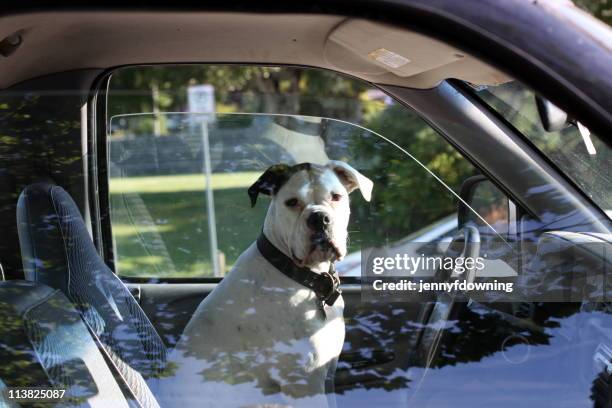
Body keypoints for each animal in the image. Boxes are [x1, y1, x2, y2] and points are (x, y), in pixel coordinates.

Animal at [155, 161, 370, 408]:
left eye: (336, 197)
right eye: (292, 202)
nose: (319, 218)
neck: (298, 274)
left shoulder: (326, 377)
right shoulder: (305, 385)